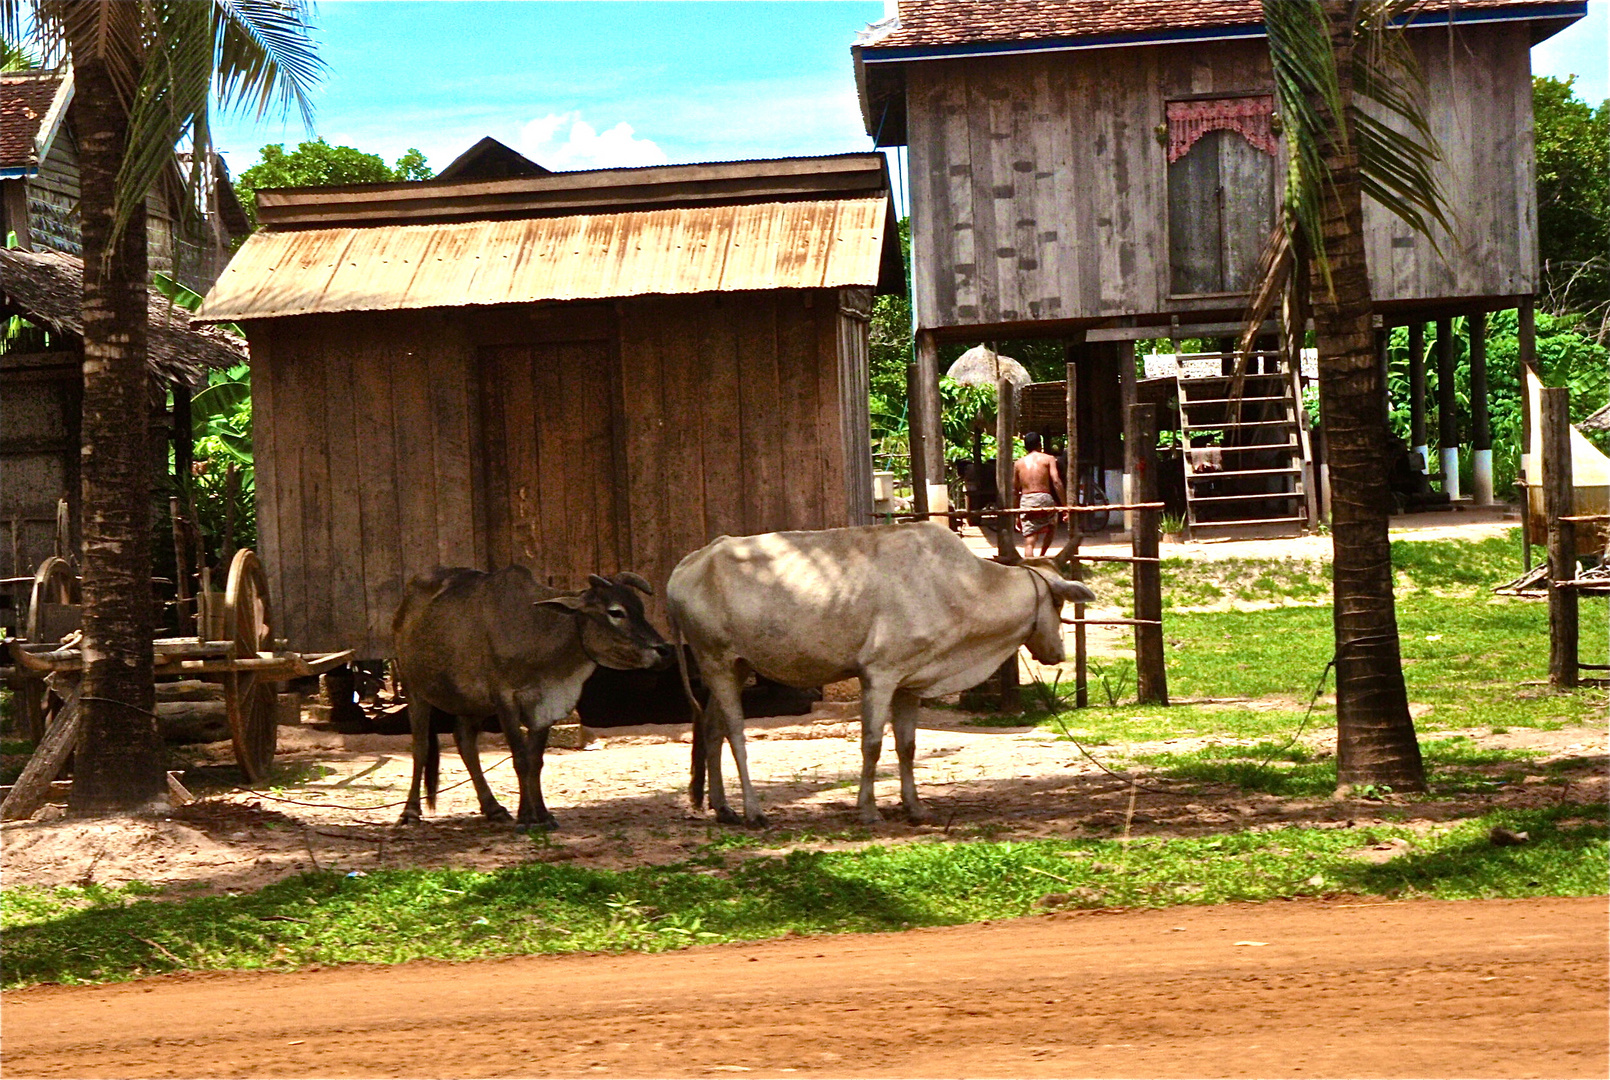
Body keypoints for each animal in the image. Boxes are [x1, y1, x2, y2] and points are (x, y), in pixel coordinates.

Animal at [396, 566, 672, 830]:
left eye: (640, 607)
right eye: (616, 612)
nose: (664, 650)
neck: (537, 630)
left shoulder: (544, 706)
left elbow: (535, 761)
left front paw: (543, 815)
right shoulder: (505, 700)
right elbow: (520, 759)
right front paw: (526, 817)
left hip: (471, 705)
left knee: (465, 742)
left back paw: (493, 808)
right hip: (414, 689)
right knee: (421, 747)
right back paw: (410, 812)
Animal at [660, 524, 1088, 830]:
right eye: (1059, 602)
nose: (1058, 653)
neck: (964, 587)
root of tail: (690, 563)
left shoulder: (911, 682)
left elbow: (907, 746)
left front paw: (915, 808)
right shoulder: (879, 675)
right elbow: (872, 744)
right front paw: (868, 810)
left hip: (736, 665)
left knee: (712, 729)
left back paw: (723, 808)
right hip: (715, 660)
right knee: (734, 733)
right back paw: (753, 812)